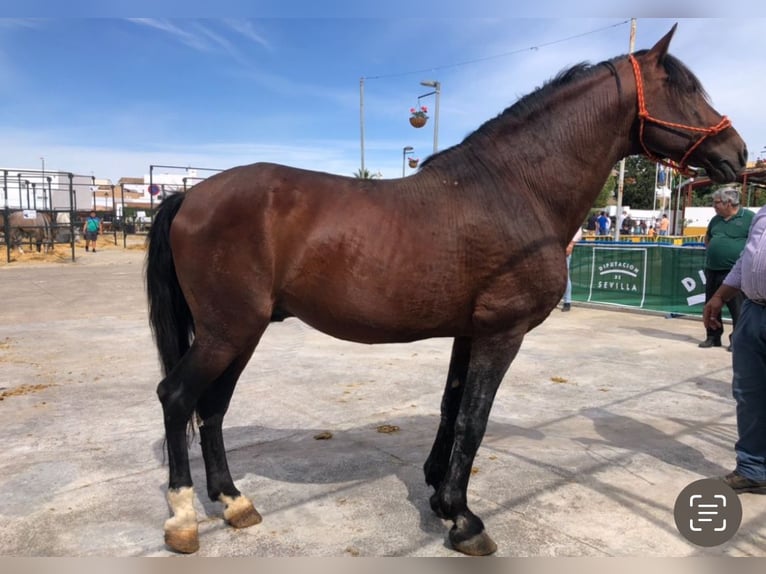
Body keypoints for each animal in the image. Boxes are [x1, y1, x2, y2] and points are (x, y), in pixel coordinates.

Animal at [146, 27, 752, 560]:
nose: (740, 154)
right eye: (685, 90)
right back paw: (183, 518)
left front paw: (439, 496)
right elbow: (473, 419)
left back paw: (233, 502)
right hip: (228, 332)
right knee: (177, 398)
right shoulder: (502, 332)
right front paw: (464, 520)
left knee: (212, 409)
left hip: (240, 334)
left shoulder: (470, 331)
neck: (515, 188)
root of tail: (192, 194)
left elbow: (451, 407)